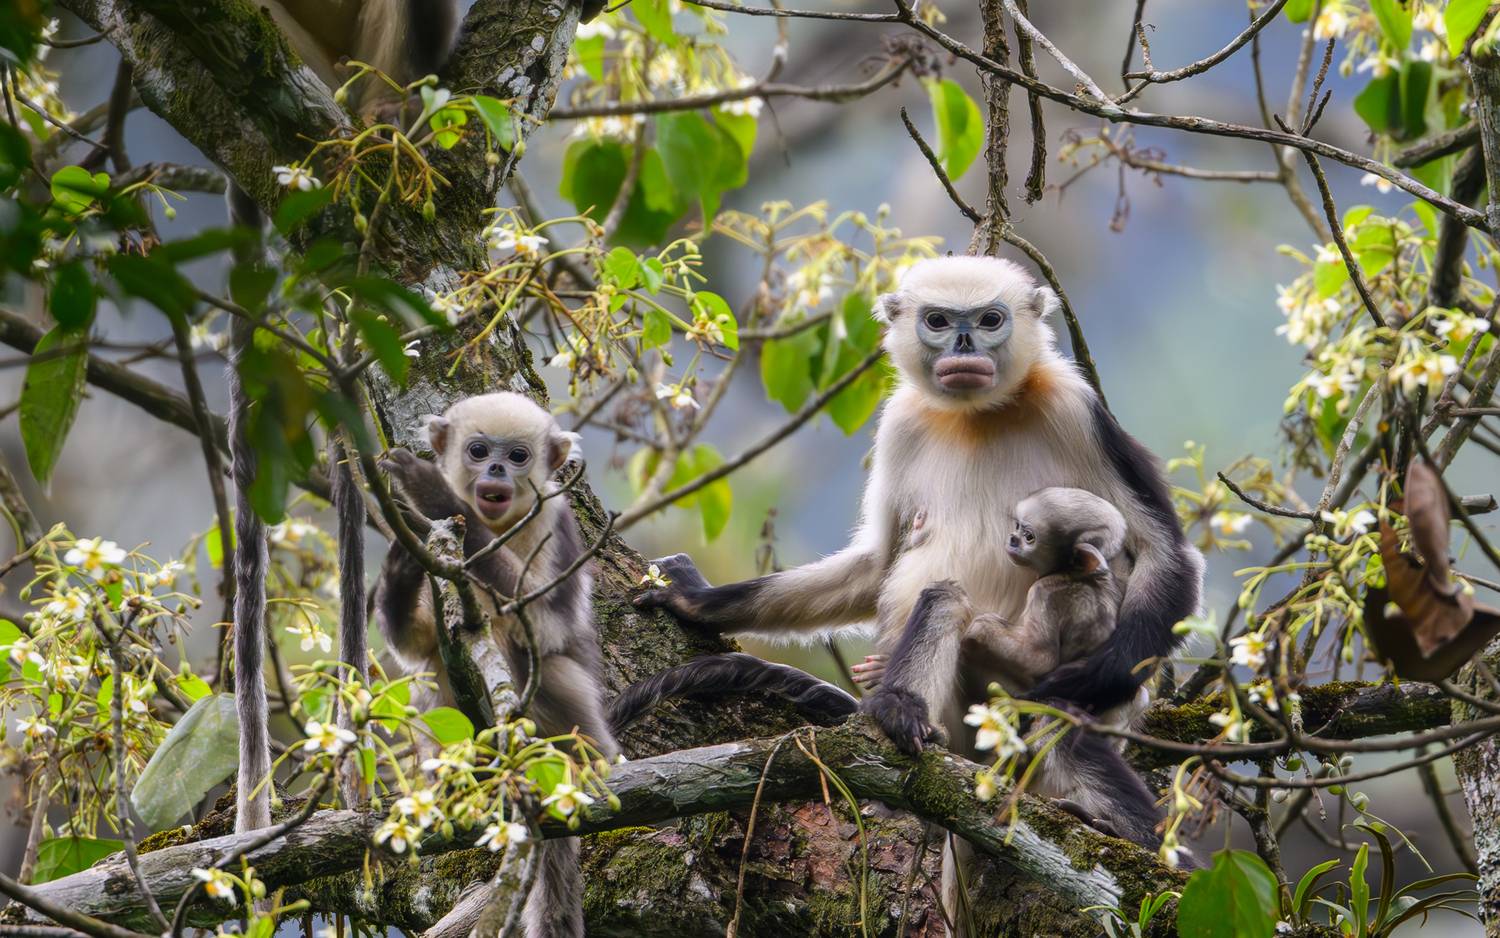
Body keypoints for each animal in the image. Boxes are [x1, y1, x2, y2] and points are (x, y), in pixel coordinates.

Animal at [374, 392, 614, 938]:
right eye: (479, 451)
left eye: (519, 456)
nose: (498, 471)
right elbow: (418, 648)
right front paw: (399, 567)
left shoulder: (558, 525)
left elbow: (543, 625)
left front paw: (433, 492)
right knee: (433, 682)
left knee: (544, 669)